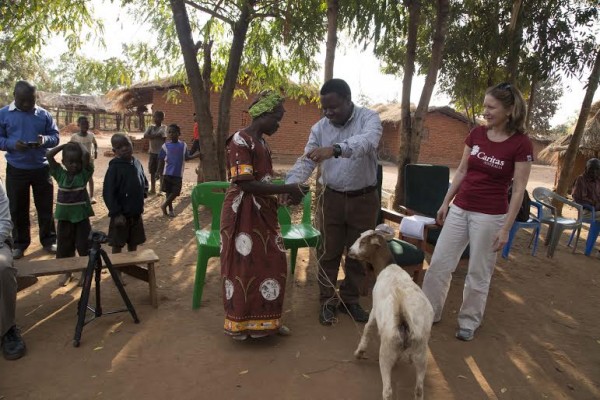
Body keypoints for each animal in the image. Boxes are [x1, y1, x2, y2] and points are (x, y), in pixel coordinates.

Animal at [346, 227, 436, 398]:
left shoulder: (374, 309)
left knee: (387, 390)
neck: (388, 267)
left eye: (363, 242)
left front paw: (359, 352)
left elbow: (368, 327)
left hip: (387, 350)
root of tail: (403, 318)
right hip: (422, 353)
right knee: (419, 390)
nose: (349, 250)